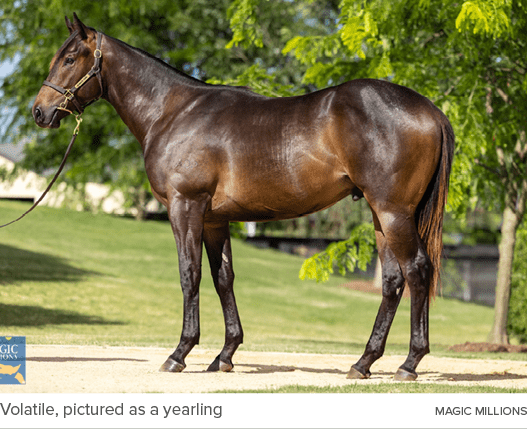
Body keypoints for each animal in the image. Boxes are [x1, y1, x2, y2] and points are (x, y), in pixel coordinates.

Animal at [33, 14, 454, 382]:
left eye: (69, 58)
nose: (40, 111)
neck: (172, 112)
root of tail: (430, 109)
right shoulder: (214, 219)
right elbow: (223, 279)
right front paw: (225, 355)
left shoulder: (186, 207)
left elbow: (189, 274)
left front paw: (180, 353)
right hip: (380, 215)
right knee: (393, 281)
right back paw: (363, 362)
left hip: (394, 212)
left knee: (417, 270)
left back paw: (409, 363)